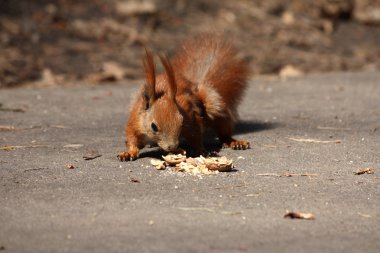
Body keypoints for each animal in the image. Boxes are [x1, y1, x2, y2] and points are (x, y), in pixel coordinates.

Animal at [117, 33, 251, 162]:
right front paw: (128, 153)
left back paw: (233, 142)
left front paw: (199, 150)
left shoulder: (189, 113)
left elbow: (195, 134)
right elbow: (132, 138)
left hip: (214, 108)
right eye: (153, 126)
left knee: (223, 129)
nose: (172, 147)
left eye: (181, 122)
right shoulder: (135, 120)